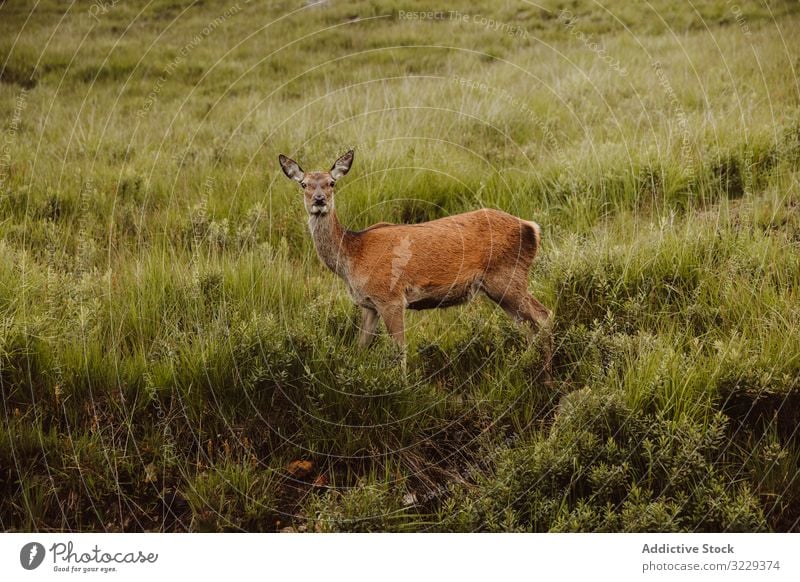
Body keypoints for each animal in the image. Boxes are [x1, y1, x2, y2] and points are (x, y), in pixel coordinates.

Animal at [278, 151, 552, 378]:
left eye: (331, 183)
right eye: (304, 184)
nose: (319, 200)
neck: (352, 257)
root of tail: (532, 228)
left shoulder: (391, 298)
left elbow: (399, 352)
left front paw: (400, 388)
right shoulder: (369, 305)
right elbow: (360, 347)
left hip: (507, 277)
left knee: (543, 317)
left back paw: (544, 376)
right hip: (502, 287)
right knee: (530, 326)